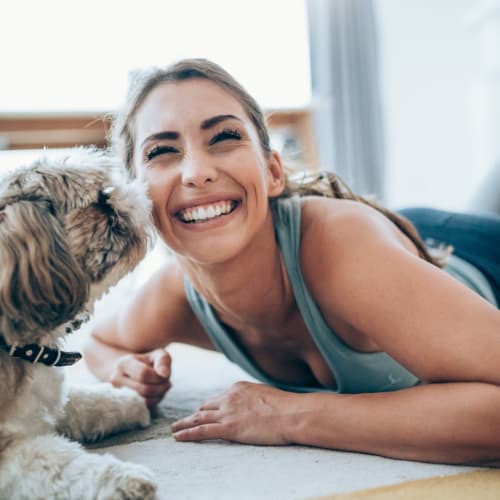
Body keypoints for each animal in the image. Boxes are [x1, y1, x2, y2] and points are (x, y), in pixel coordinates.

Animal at [0, 149, 157, 500]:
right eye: (101, 200)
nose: (132, 194)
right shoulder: (7, 452)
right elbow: (56, 463)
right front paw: (124, 480)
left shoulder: (51, 401)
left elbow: (84, 402)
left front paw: (129, 401)